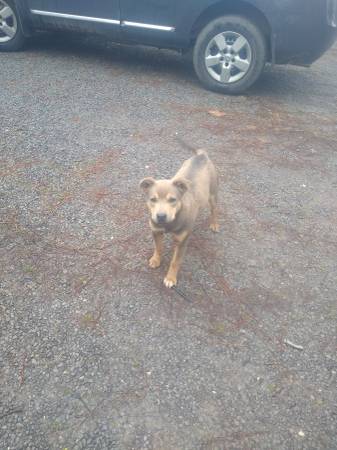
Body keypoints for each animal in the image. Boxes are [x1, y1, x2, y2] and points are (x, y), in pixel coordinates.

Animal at [139, 149, 218, 286]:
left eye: (172, 199)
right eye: (153, 199)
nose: (160, 216)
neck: (171, 222)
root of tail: (201, 155)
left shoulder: (182, 241)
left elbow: (175, 261)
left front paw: (170, 278)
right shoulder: (156, 231)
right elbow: (158, 247)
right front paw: (156, 260)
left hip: (213, 194)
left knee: (214, 210)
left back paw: (214, 224)